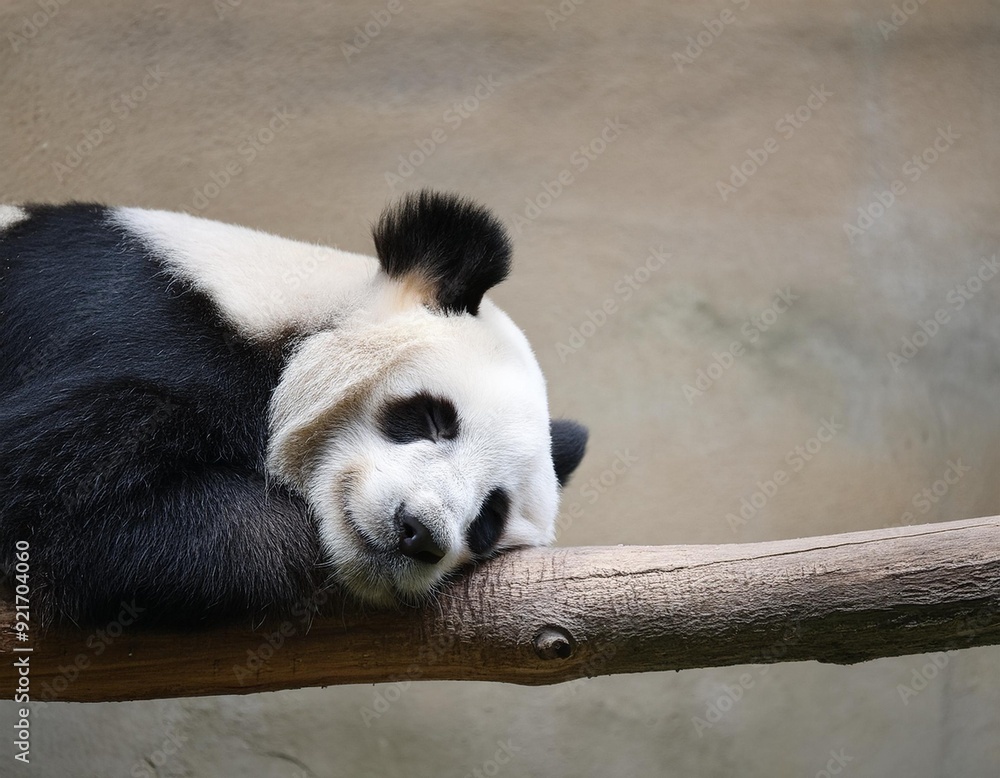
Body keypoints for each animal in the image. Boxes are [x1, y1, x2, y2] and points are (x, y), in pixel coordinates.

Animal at [0, 191, 587, 626]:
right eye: (433, 418)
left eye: (490, 517)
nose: (418, 533)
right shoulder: (137, 328)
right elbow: (45, 494)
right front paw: (283, 542)